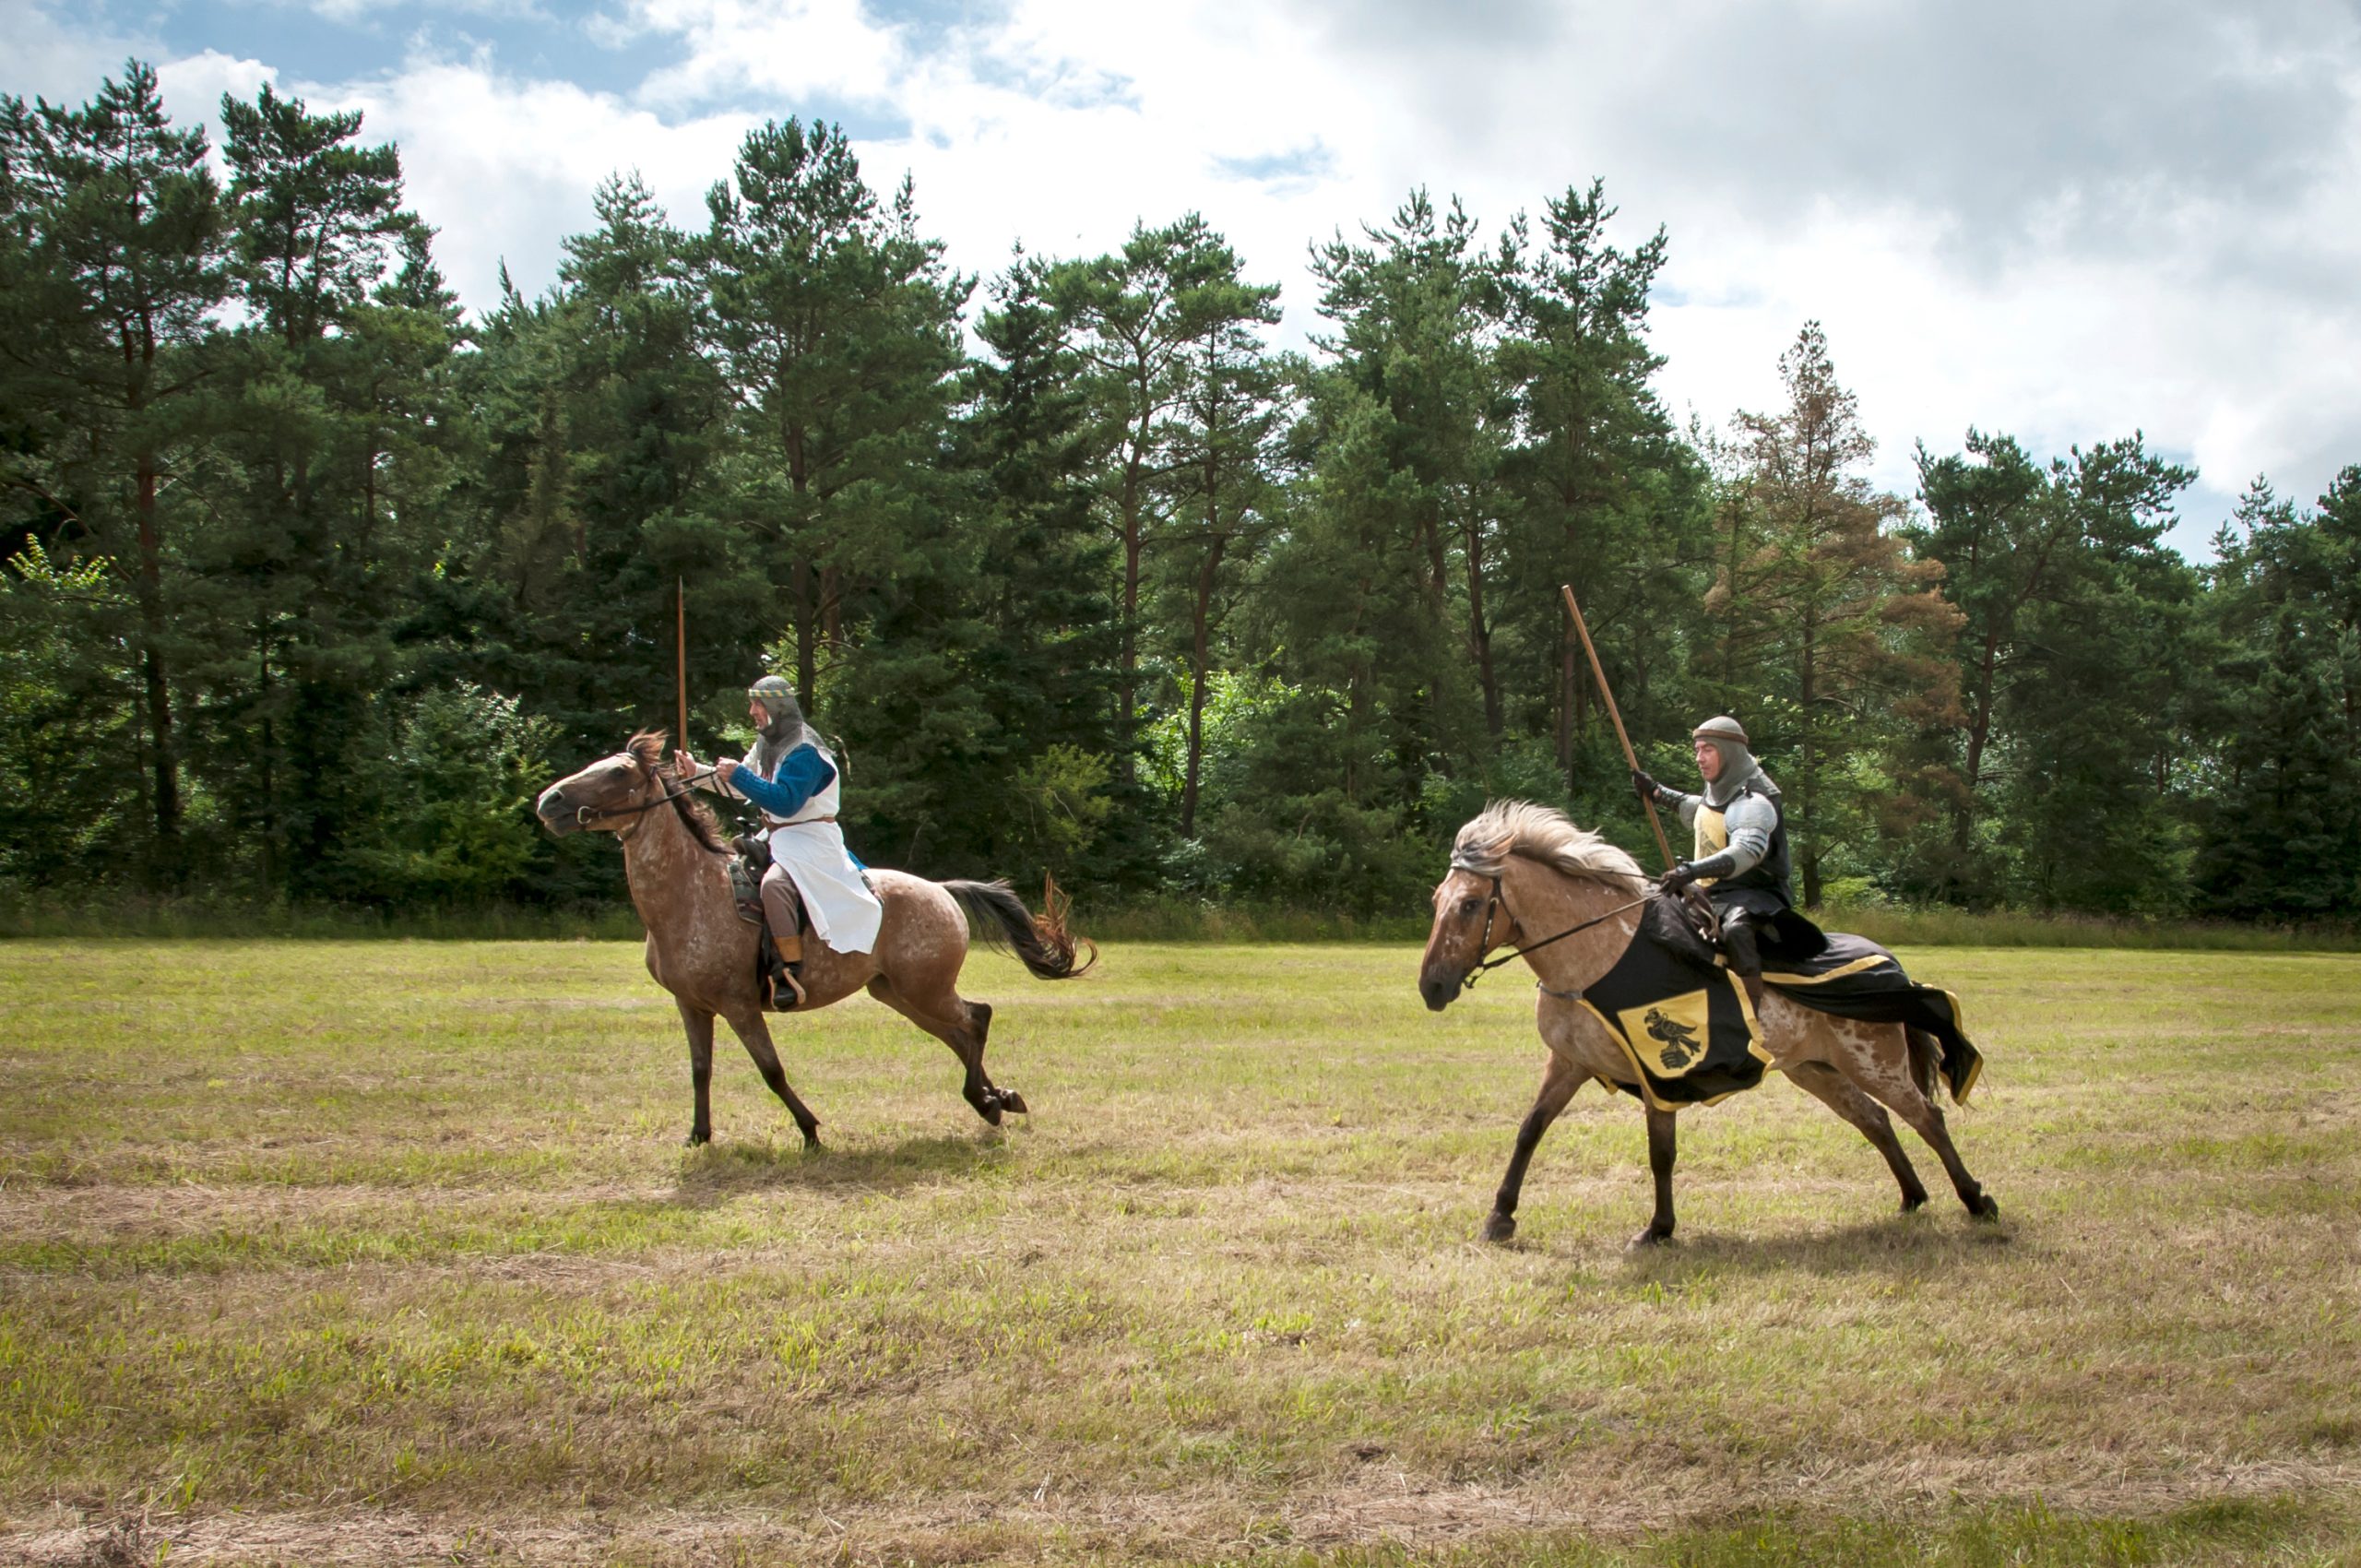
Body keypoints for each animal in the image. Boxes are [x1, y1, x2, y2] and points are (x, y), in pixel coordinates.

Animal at [535, 732, 1093, 1147]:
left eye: (617, 773)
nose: (549, 801)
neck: (690, 894)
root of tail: (940, 889)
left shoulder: (740, 1006)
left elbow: (771, 1071)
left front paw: (808, 1130)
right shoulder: (691, 1006)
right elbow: (700, 1070)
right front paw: (698, 1134)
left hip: (925, 989)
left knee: (976, 1019)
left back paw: (984, 1100)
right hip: (898, 993)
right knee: (959, 1035)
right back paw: (997, 1099)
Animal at [1418, 801, 1996, 1250]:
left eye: (1471, 904)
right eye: (1437, 901)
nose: (1432, 987)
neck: (1598, 955)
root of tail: (1892, 963)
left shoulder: (1658, 1075)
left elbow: (1661, 1153)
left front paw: (1658, 1229)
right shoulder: (1570, 1063)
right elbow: (1530, 1131)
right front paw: (1500, 1216)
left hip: (1875, 1061)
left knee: (1926, 1118)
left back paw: (1975, 1199)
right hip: (1815, 1068)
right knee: (1873, 1119)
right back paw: (1912, 1197)